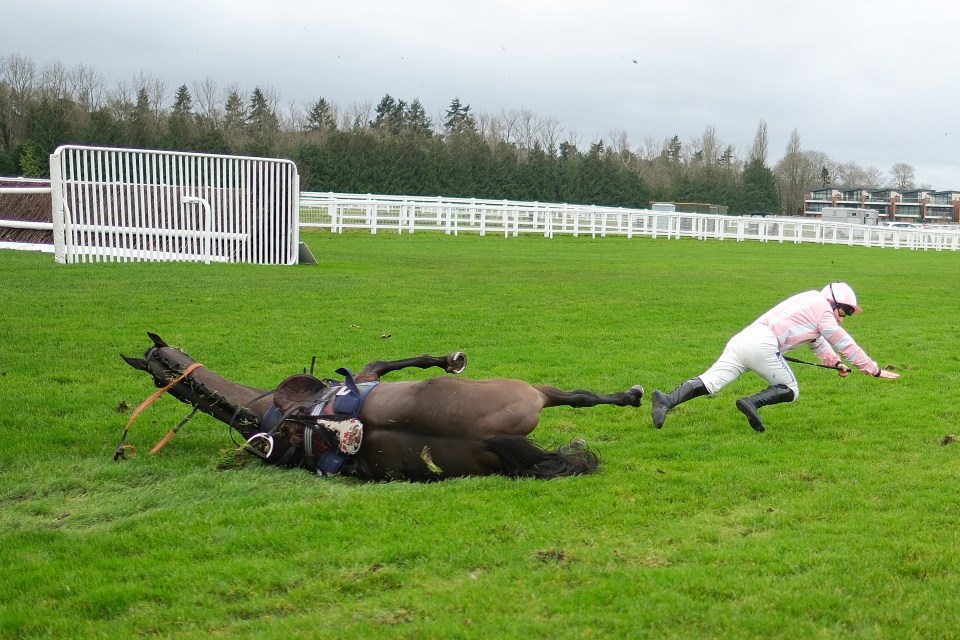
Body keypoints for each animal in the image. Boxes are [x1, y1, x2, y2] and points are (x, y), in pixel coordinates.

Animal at [122, 336, 644, 480]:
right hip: (529, 390)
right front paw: (452, 359)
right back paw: (633, 395)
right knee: (576, 396)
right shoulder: (370, 370)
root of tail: (488, 438)